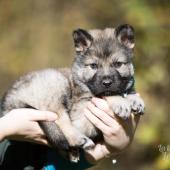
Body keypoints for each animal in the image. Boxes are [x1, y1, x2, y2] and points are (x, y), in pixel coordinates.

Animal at [0, 23, 145, 162]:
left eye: (118, 64)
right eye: (93, 66)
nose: (107, 82)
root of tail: (10, 99)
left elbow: (126, 91)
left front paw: (135, 99)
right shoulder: (81, 109)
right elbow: (107, 94)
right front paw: (121, 102)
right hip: (55, 85)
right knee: (61, 122)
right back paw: (80, 140)